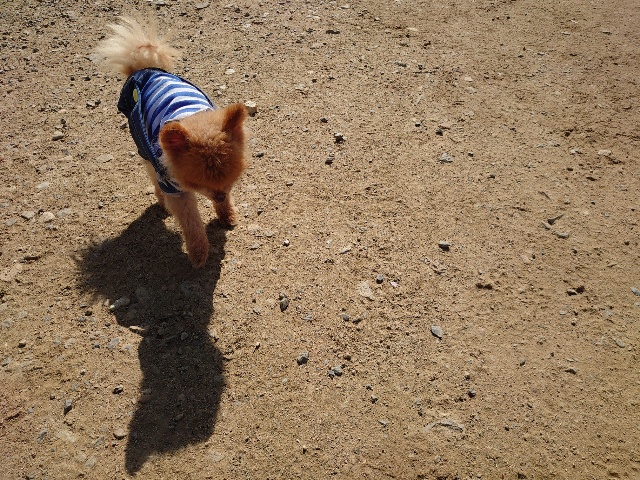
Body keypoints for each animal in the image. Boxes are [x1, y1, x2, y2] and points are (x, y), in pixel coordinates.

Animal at [96, 17, 247, 268]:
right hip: (143, 147)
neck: (190, 116)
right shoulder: (176, 189)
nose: (219, 196)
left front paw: (227, 214)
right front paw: (198, 253)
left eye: (230, 178)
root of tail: (142, 70)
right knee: (151, 175)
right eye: (198, 183)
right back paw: (161, 201)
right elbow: (191, 223)